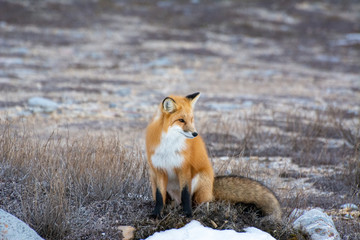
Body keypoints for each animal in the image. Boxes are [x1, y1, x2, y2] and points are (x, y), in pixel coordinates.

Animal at [146, 93, 282, 220]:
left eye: (191, 119)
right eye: (181, 120)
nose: (195, 134)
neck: (168, 145)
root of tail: (212, 186)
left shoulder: (184, 168)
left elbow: (185, 195)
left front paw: (188, 214)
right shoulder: (159, 170)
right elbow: (160, 197)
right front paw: (156, 214)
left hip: (200, 178)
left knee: (198, 202)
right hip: (153, 179)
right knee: (171, 201)